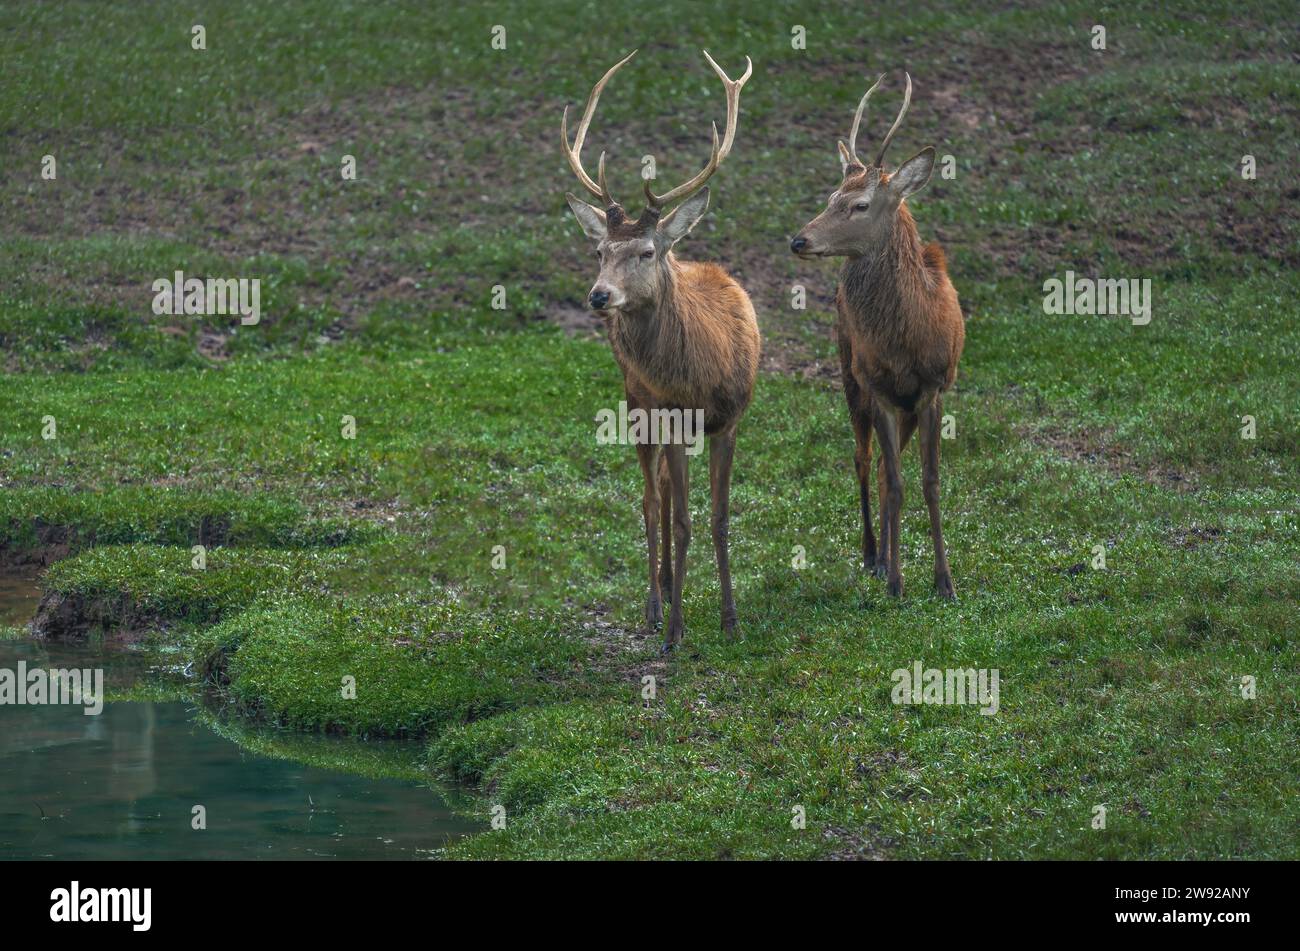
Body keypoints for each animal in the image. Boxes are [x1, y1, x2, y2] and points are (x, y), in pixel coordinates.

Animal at [561, 48, 759, 649]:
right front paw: (675, 633)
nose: (599, 295)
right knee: (653, 500)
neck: (702, 373)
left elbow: (718, 519)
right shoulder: (668, 411)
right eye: (600, 250)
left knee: (668, 493)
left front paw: (730, 619)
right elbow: (679, 518)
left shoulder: (729, 419)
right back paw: (655, 603)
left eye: (647, 251)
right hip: (638, 402)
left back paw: (672, 587)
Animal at [785, 74, 961, 597]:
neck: (907, 339)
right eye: (829, 198)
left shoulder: (933, 388)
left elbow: (928, 481)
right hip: (850, 374)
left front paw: (944, 581)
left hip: (903, 405)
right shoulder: (880, 388)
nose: (799, 240)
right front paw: (898, 581)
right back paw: (872, 554)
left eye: (859, 204)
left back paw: (884, 555)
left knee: (884, 466)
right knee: (865, 460)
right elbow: (897, 481)